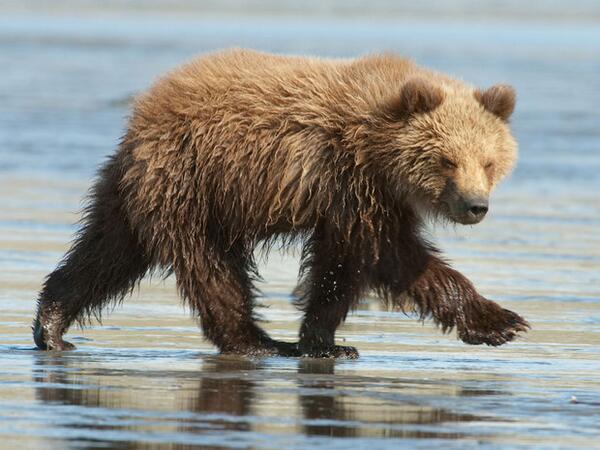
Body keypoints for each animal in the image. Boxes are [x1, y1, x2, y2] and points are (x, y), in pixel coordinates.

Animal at [34, 48, 528, 358]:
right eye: (447, 160)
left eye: (489, 161)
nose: (475, 206)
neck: (378, 151)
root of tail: (144, 110)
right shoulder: (352, 183)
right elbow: (393, 255)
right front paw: (502, 322)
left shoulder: (354, 199)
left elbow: (340, 268)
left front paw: (325, 341)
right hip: (193, 182)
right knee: (211, 270)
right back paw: (256, 341)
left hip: (141, 190)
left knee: (107, 251)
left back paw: (52, 322)